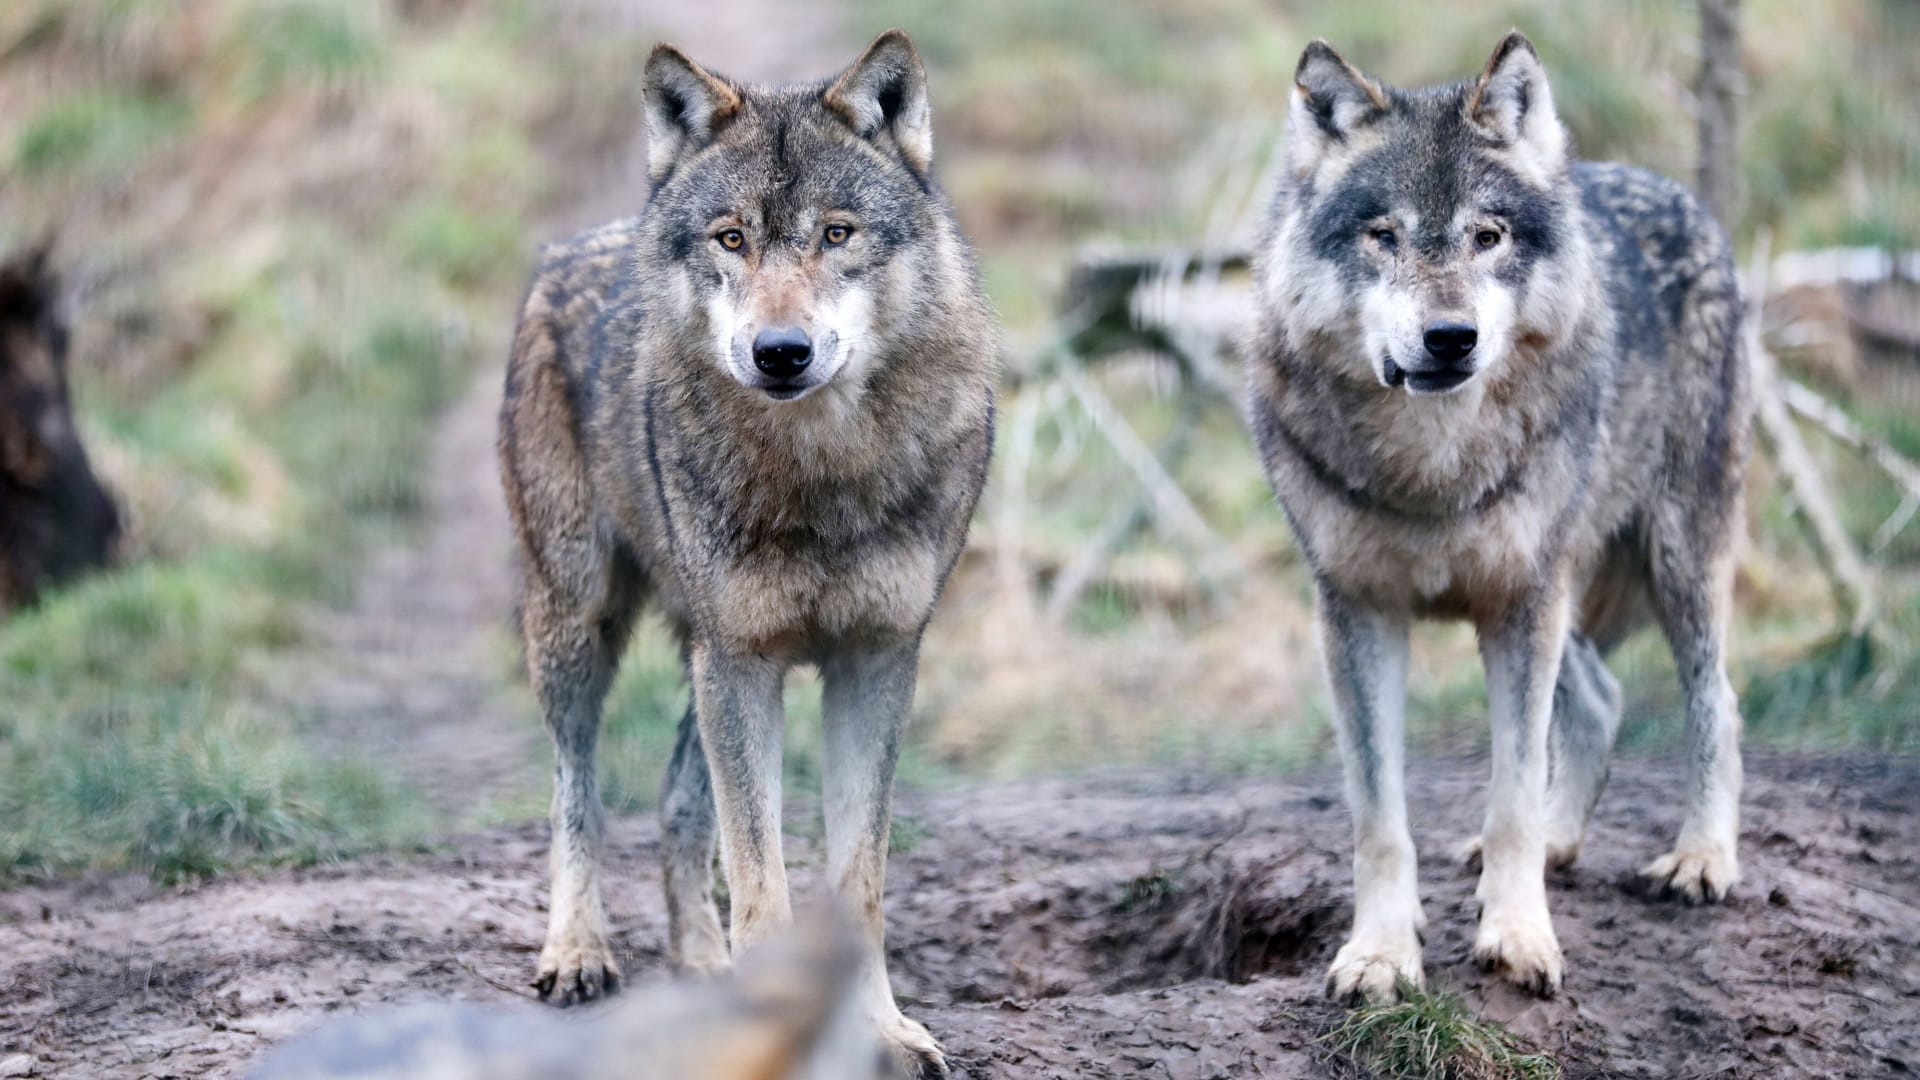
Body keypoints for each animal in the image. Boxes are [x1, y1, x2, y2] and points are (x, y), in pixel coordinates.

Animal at [495, 29, 998, 1068]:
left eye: (837, 235)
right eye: (731, 239)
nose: (780, 352)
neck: (823, 473)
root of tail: (575, 245)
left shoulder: (874, 661)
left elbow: (856, 884)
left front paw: (881, 1033)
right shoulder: (746, 661)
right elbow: (763, 882)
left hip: (699, 652)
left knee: (677, 806)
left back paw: (702, 969)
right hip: (580, 627)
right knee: (578, 792)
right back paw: (578, 952)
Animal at [1244, 29, 1758, 999]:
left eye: (1488, 237)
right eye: (1384, 236)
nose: (1451, 339)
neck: (1432, 469)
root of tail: (1674, 191)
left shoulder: (1523, 601)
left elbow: (1512, 793)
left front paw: (1518, 937)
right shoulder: (1359, 612)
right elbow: (1380, 819)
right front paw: (1381, 952)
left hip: (1674, 554)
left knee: (1716, 698)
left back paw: (1702, 859)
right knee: (1601, 700)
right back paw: (1560, 845)